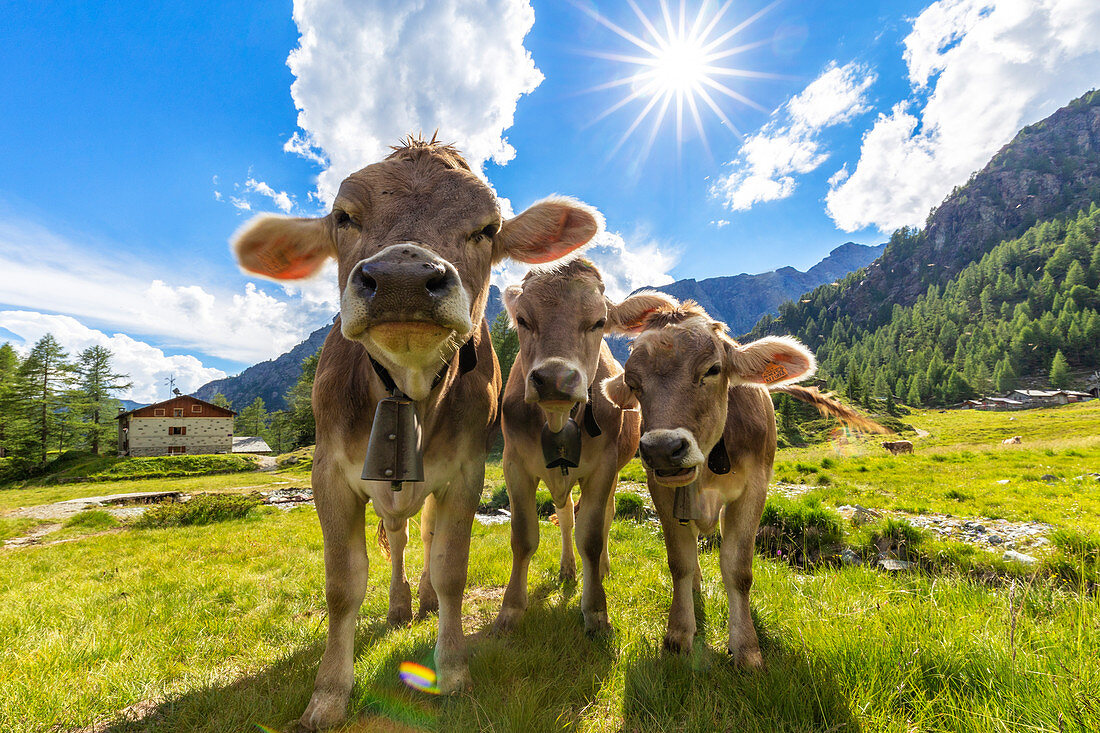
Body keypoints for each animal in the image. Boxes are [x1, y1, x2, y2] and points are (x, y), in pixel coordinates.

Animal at [233, 135, 607, 726]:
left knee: (425, 537)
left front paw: (451, 670)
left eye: (487, 227)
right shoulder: (328, 474)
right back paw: (401, 603)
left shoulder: (465, 471)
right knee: (401, 537)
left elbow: (452, 567)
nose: (403, 279)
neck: (407, 388)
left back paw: (425, 599)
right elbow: (343, 585)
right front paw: (329, 694)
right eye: (343, 217)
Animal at [495, 260, 664, 633]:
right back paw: (568, 569)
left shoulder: (603, 467)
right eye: (523, 320)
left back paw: (601, 569)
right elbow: (523, 537)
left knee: (606, 517)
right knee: (565, 517)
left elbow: (592, 537)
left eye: (598, 322)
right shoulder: (514, 464)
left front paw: (596, 610)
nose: (555, 379)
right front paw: (510, 610)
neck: (558, 419)